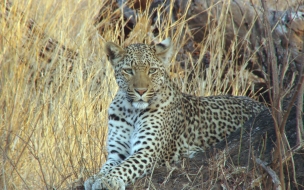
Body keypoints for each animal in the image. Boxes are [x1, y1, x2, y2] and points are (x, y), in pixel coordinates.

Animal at [83, 37, 266, 189]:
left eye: (152, 70)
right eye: (128, 70)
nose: (141, 91)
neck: (131, 110)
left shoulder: (147, 151)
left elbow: (126, 166)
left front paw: (108, 180)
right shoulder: (116, 152)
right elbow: (107, 166)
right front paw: (95, 177)